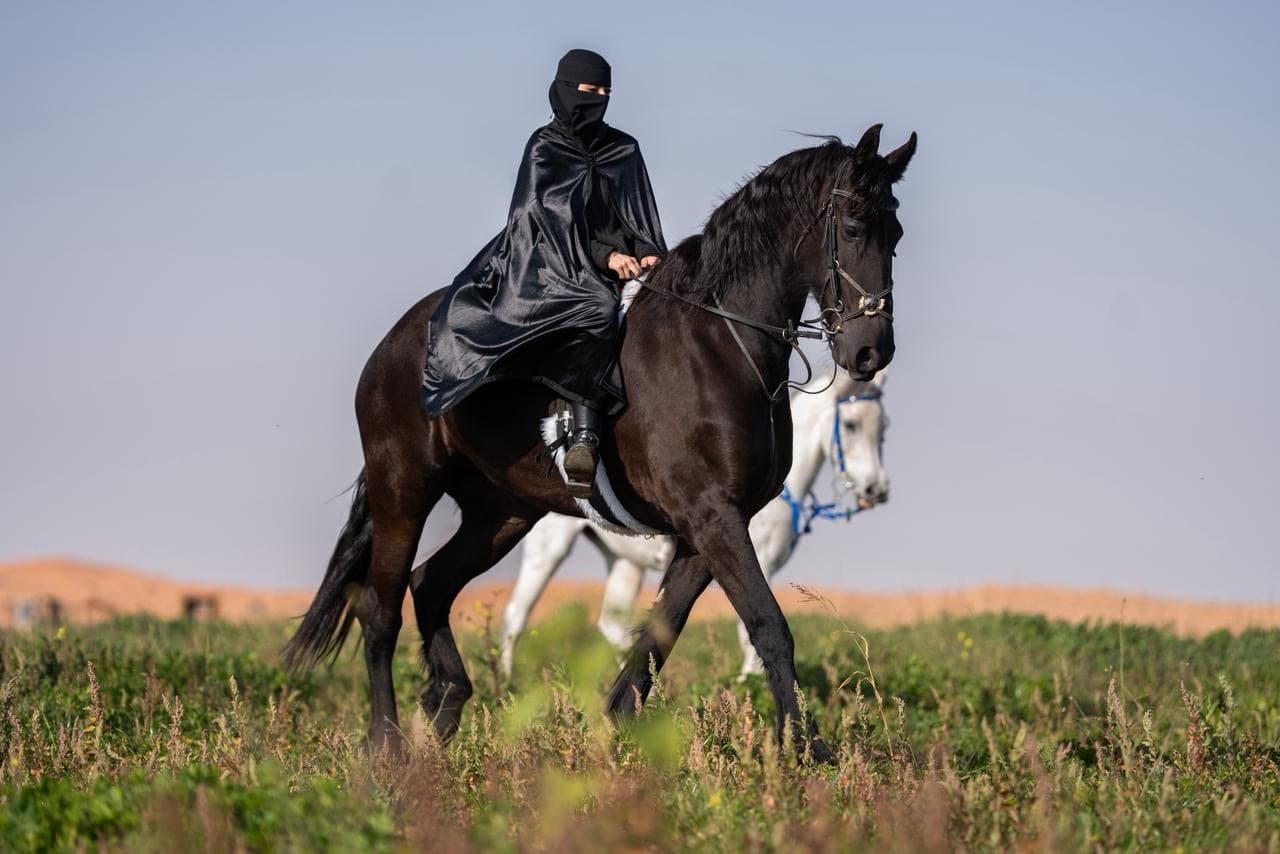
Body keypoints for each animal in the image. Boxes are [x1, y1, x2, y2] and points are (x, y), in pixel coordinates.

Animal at [498, 368, 890, 680]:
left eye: (883, 427)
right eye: (851, 425)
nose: (876, 490)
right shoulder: (754, 561)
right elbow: (749, 631)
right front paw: (749, 688)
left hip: (623, 561)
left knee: (612, 625)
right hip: (549, 550)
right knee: (515, 616)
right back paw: (506, 687)